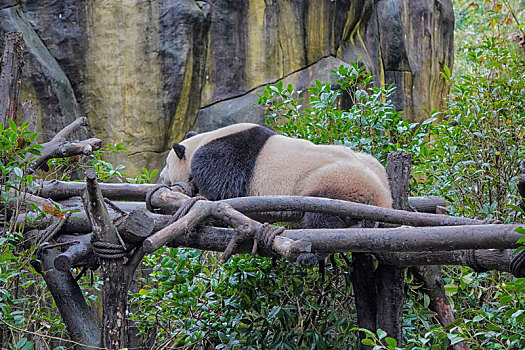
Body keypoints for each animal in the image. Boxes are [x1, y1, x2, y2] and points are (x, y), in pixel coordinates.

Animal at [160, 123, 392, 230]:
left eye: (166, 164)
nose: (162, 177)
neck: (202, 141)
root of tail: (382, 197)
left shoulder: (227, 153)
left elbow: (223, 188)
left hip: (336, 179)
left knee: (323, 213)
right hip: (371, 164)